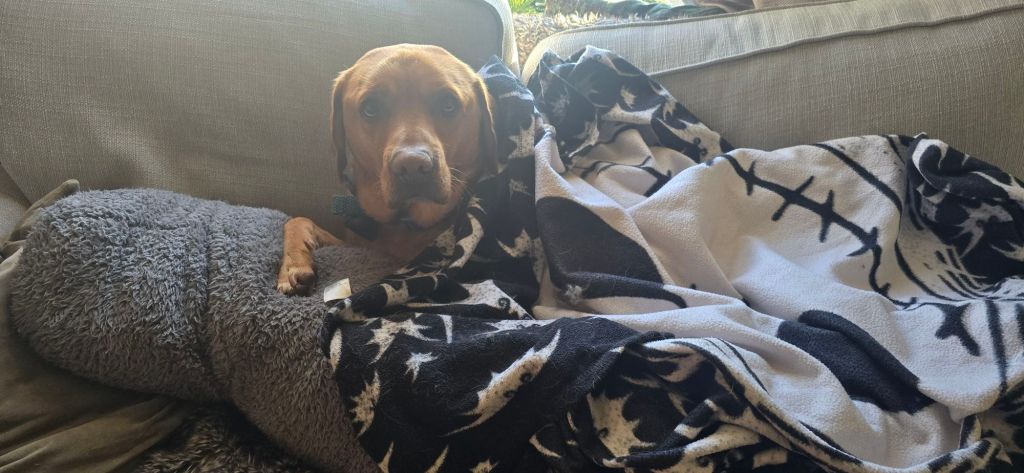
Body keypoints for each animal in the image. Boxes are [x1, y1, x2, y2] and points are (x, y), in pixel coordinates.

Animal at [277, 44, 497, 295]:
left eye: (448, 104)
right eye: (370, 108)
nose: (413, 165)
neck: (405, 222)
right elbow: (298, 220)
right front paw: (293, 266)